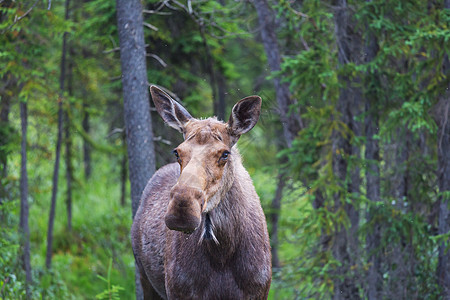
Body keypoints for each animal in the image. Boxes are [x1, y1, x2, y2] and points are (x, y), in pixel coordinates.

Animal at [130, 85, 270, 298]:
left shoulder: (258, 292)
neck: (223, 251)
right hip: (145, 279)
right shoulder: (178, 292)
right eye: (177, 152)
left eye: (225, 154)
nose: (182, 209)